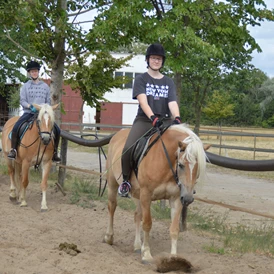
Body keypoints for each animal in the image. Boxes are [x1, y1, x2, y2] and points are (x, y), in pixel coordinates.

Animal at [104, 124, 210, 264]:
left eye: (198, 168)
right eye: (181, 165)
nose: (188, 198)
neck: (165, 161)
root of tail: (117, 135)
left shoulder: (176, 198)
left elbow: (174, 229)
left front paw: (173, 259)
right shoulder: (146, 195)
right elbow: (147, 224)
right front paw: (146, 255)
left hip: (138, 194)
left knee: (137, 215)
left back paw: (137, 246)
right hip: (113, 184)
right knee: (112, 207)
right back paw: (109, 237)